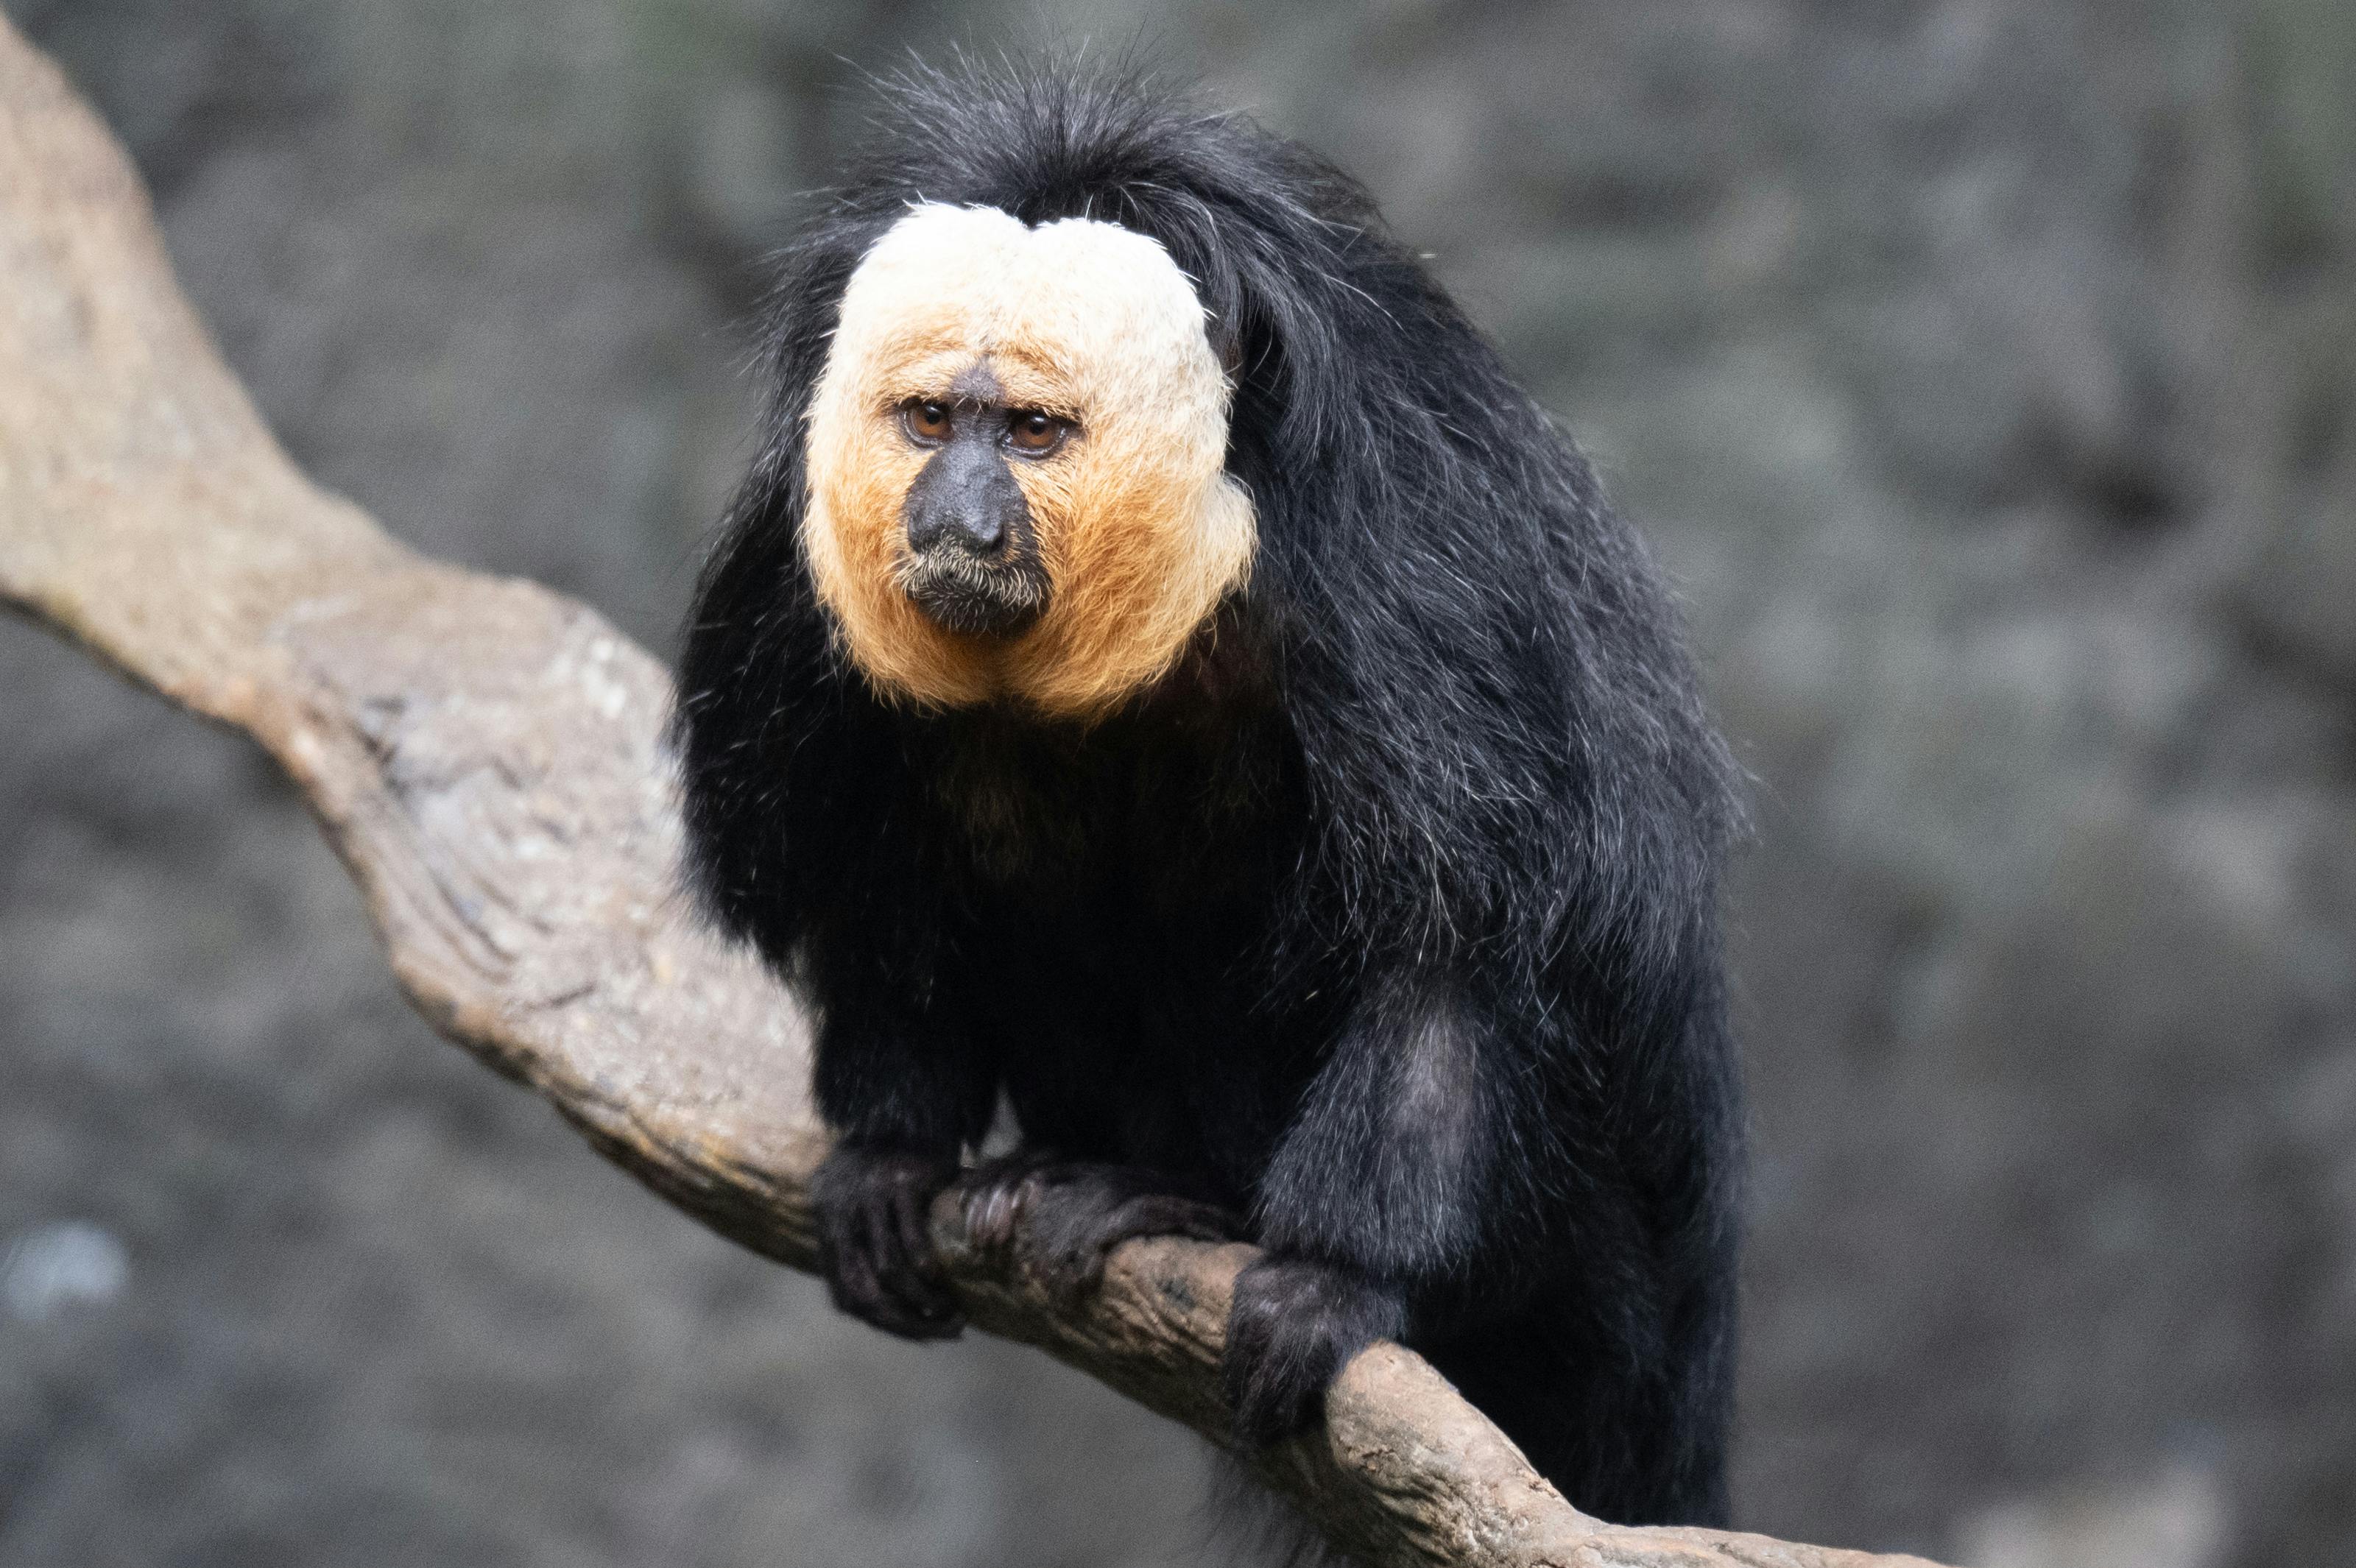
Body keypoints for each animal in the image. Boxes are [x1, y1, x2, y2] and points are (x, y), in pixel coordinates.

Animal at [672, 58, 1746, 1532]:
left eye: (1032, 433)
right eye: (932, 419)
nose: (954, 516)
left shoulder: (1411, 576)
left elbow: (1459, 947)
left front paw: (1333, 1277)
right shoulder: (793, 594)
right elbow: (879, 894)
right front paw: (892, 1155)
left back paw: (1180, 1207)